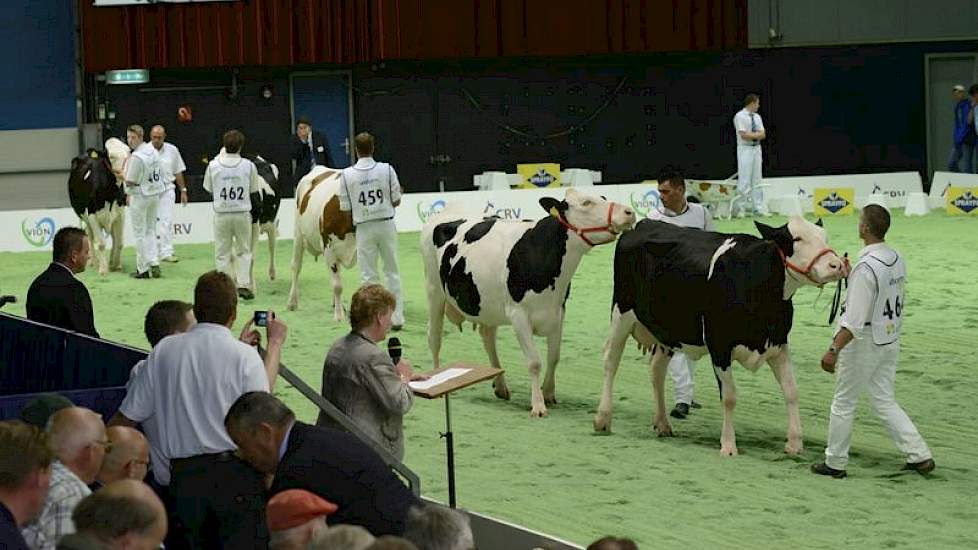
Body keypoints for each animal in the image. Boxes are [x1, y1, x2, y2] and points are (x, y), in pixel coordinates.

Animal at [66, 138, 131, 276]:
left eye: (128, 152)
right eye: (111, 156)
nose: (127, 174)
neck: (110, 195)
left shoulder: (120, 214)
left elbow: (119, 242)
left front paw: (117, 265)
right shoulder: (92, 216)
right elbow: (100, 243)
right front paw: (103, 270)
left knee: (114, 237)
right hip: (84, 217)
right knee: (89, 237)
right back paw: (94, 262)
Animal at [286, 165, 354, 320]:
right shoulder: (329, 247)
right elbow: (337, 286)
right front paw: (339, 316)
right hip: (298, 233)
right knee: (296, 267)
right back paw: (292, 302)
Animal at [418, 190, 632, 418]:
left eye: (603, 197)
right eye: (586, 203)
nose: (628, 212)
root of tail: (450, 208)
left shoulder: (558, 311)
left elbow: (554, 356)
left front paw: (549, 393)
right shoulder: (518, 314)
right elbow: (534, 362)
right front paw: (538, 405)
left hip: (488, 304)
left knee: (487, 337)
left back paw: (501, 386)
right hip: (433, 288)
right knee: (434, 337)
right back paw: (438, 379)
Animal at [592, 217, 852, 458]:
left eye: (824, 237)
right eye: (796, 239)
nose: (836, 265)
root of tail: (642, 223)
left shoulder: (778, 344)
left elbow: (791, 391)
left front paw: (795, 443)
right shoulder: (719, 345)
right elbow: (729, 397)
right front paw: (728, 445)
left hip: (667, 331)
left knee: (656, 370)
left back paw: (663, 424)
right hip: (621, 311)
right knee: (611, 361)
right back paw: (603, 419)